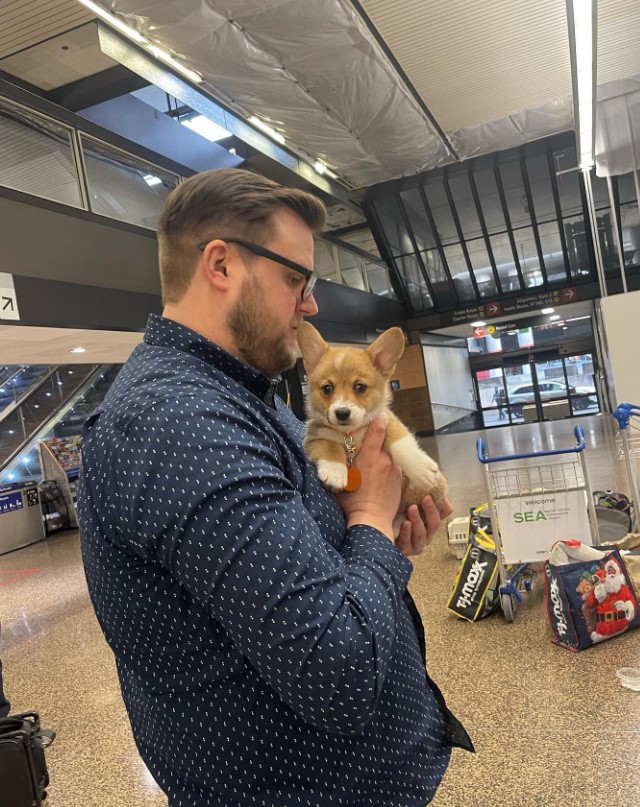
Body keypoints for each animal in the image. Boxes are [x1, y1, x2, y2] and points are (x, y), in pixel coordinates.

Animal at [298, 322, 448, 524]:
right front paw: (335, 471)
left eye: (360, 387)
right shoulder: (314, 437)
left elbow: (400, 444)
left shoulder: (388, 420)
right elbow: (329, 446)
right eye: (327, 388)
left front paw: (421, 470)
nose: (342, 413)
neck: (351, 435)